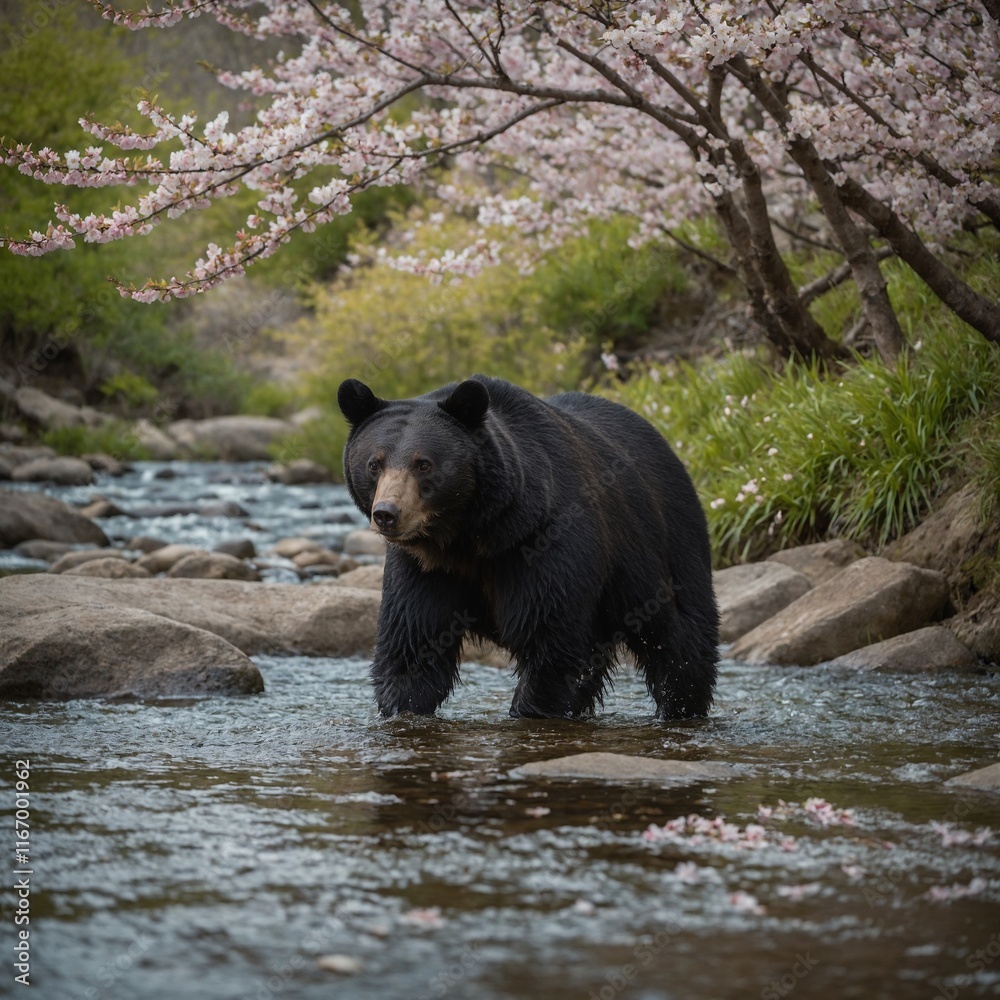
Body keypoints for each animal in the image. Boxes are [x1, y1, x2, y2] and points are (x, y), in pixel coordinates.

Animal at [338, 375, 719, 720]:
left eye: (424, 463)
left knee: (679, 639)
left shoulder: (544, 541)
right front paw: (402, 707)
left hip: (667, 544)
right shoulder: (424, 568)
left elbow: (548, 641)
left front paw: (530, 710)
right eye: (374, 463)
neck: (470, 535)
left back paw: (682, 706)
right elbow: (413, 643)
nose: (387, 514)